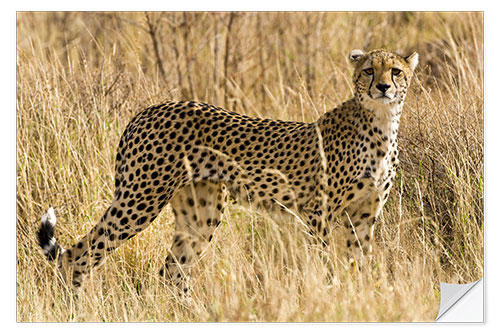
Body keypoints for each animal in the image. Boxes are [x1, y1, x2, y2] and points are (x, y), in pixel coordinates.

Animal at [39, 48, 418, 294]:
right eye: (369, 70)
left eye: (395, 71)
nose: (383, 87)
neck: (381, 124)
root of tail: (149, 109)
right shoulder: (319, 212)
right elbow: (326, 262)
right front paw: (332, 292)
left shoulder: (364, 216)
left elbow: (359, 261)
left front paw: (362, 295)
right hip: (141, 198)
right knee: (78, 254)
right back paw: (74, 306)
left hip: (200, 213)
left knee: (171, 270)